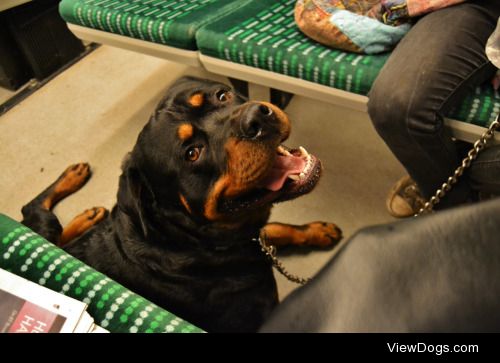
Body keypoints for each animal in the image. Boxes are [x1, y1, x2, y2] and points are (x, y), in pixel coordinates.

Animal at [21, 77, 342, 332]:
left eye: (222, 96)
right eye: (192, 153)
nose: (257, 117)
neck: (197, 243)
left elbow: (273, 228)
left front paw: (316, 230)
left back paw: (86, 210)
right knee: (31, 208)